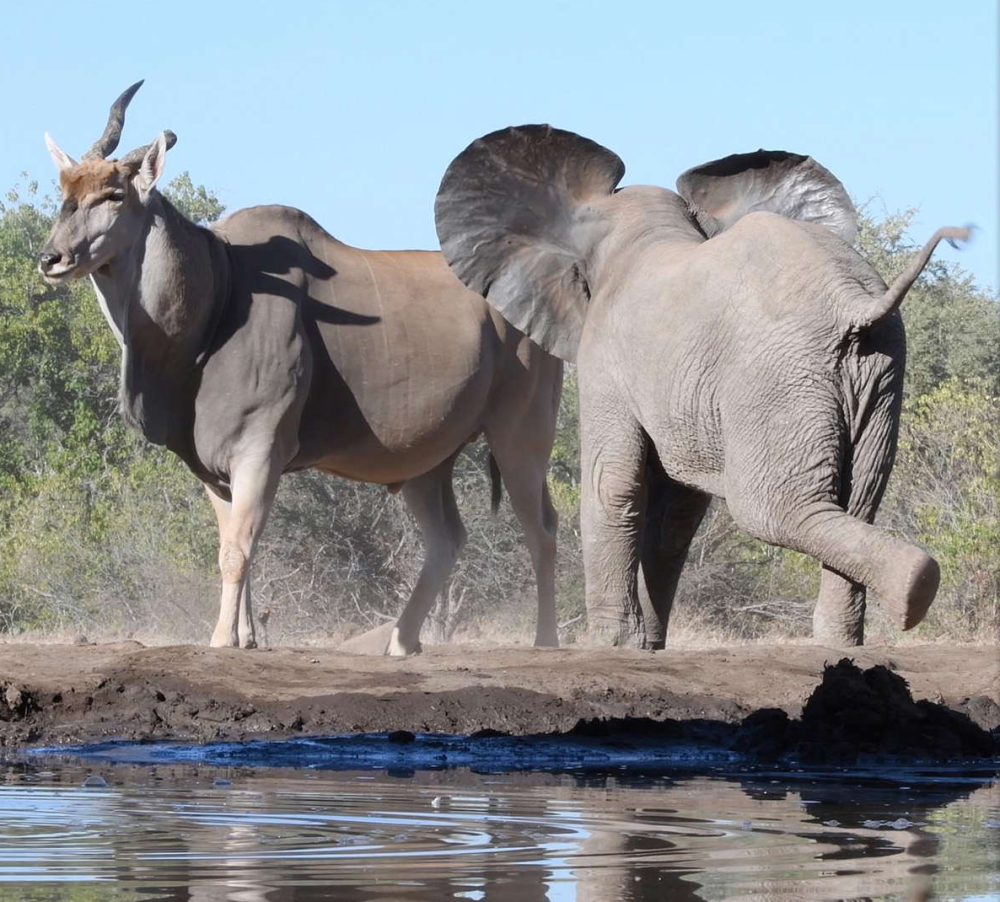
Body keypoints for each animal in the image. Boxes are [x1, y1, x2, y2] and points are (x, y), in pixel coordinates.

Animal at [435, 125, 968, 647]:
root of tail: (852, 303)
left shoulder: (607, 359)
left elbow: (613, 484)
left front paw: (611, 645)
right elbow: (675, 512)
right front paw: (648, 645)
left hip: (776, 377)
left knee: (770, 507)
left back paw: (912, 587)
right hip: (877, 375)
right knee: (860, 499)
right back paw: (849, 637)